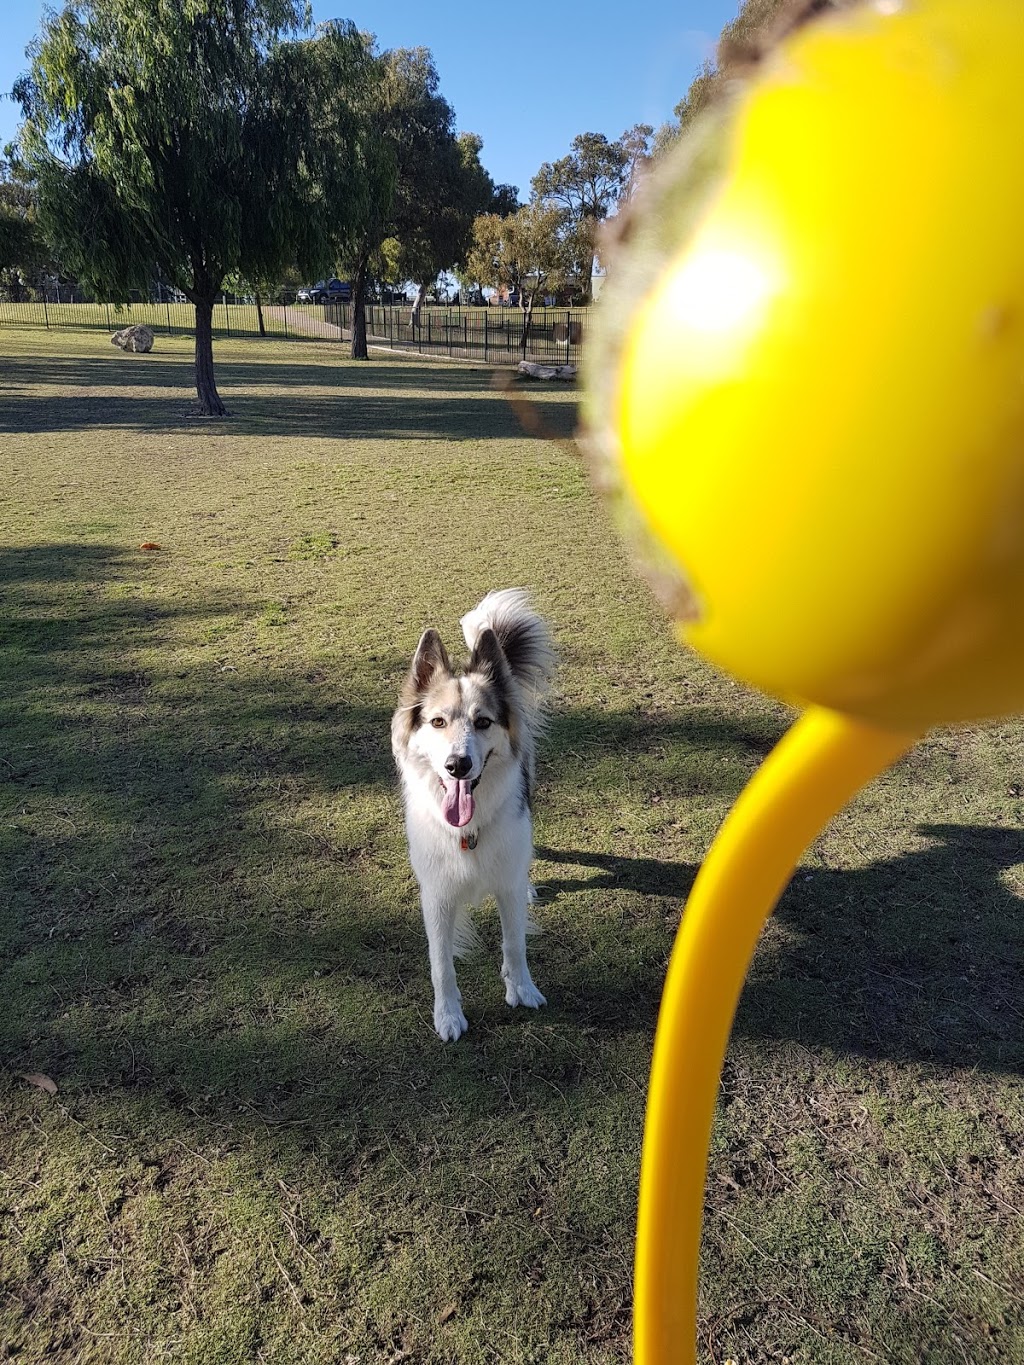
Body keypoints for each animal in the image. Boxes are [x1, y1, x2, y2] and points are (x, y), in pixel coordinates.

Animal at [393, 589, 557, 1042]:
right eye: (437, 721)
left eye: (483, 722)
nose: (458, 765)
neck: (469, 829)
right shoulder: (436, 894)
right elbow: (441, 964)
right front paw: (448, 1015)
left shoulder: (506, 881)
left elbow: (514, 942)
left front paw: (522, 988)